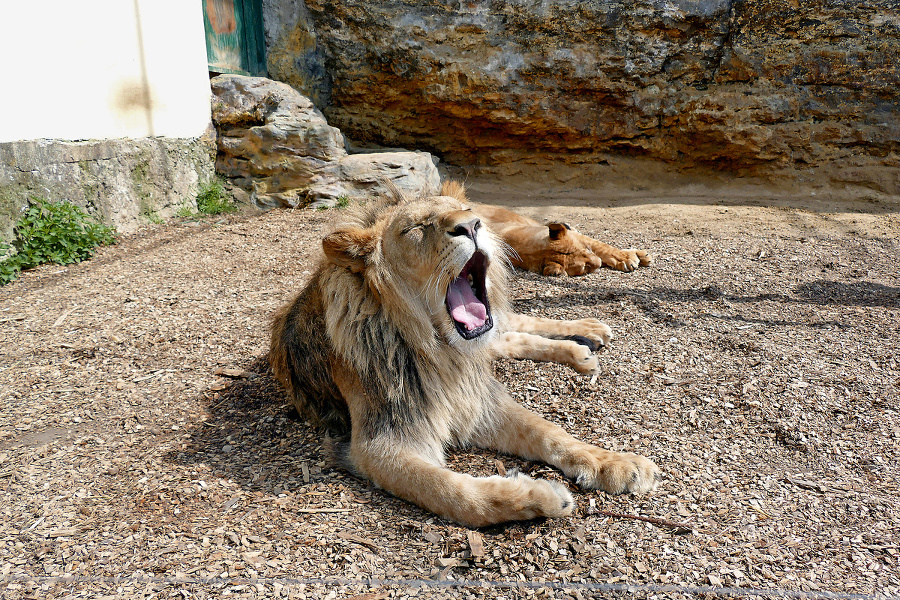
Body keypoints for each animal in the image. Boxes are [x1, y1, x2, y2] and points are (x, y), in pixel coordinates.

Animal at [442, 180, 648, 276]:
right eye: (584, 268)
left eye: (583, 252)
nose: (596, 263)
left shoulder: (581, 240)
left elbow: (603, 247)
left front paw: (627, 258)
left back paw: (640, 254)